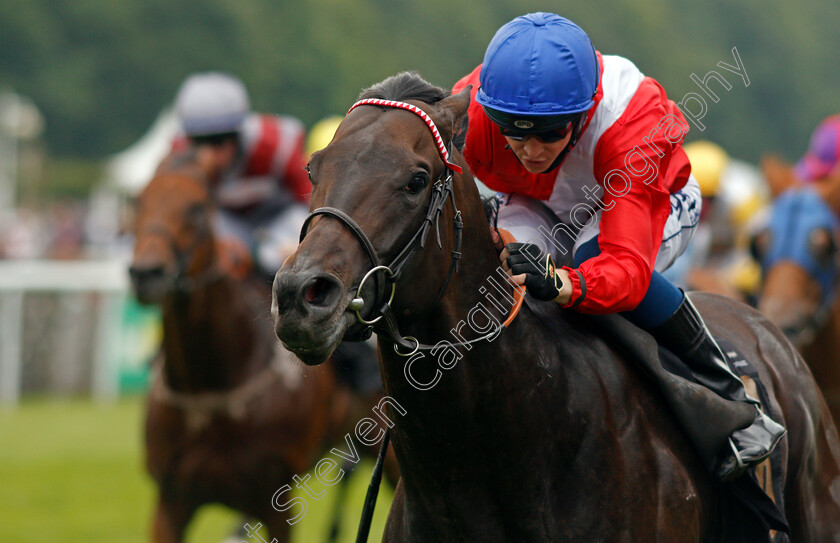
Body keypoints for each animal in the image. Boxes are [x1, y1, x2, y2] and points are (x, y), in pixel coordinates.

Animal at [129, 154, 388, 543]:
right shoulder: (172, 501)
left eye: (197, 209)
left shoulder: (274, 501)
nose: (147, 273)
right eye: (138, 204)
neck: (211, 386)